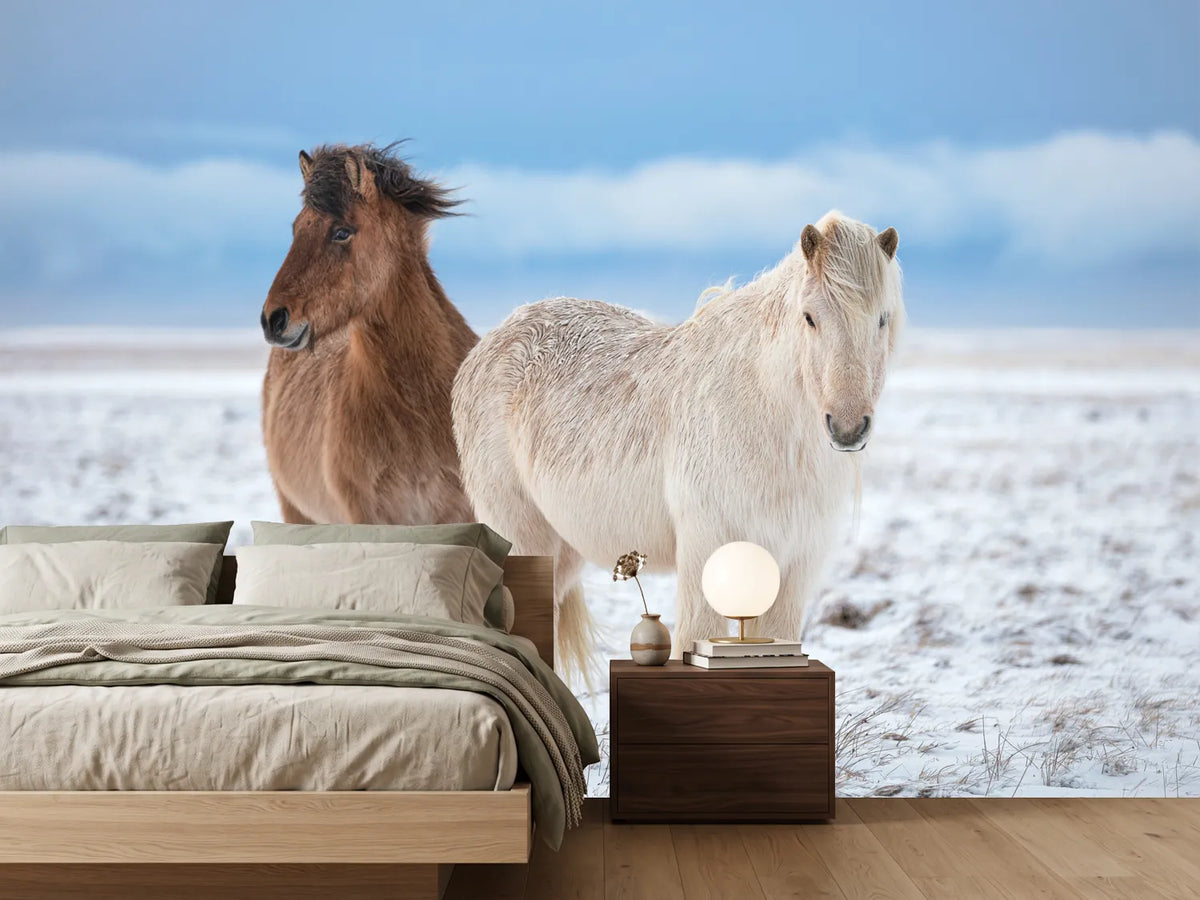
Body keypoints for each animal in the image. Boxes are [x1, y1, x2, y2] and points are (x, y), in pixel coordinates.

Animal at [452, 211, 904, 676]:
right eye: (810, 317)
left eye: (882, 319)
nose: (848, 428)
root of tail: (488, 344)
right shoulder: (706, 550)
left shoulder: (794, 565)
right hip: (522, 534)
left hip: (567, 550)